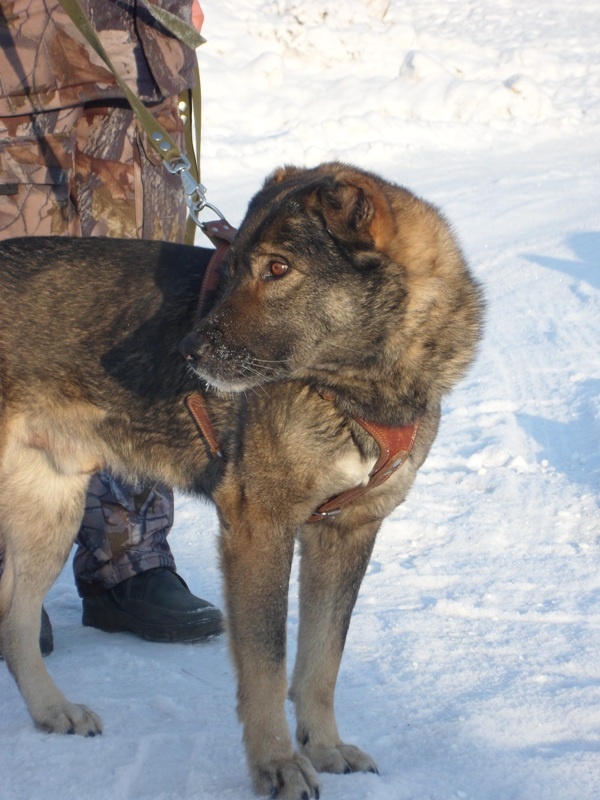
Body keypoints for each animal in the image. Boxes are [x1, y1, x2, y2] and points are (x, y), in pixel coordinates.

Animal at [0, 162, 483, 799]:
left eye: (277, 268)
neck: (354, 388)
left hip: (50, 513)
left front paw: (324, 747)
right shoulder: (260, 529)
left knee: (14, 619)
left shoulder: (346, 531)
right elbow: (267, 666)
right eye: (231, 271)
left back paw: (52, 710)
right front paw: (277, 765)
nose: (187, 351)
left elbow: (322, 662)